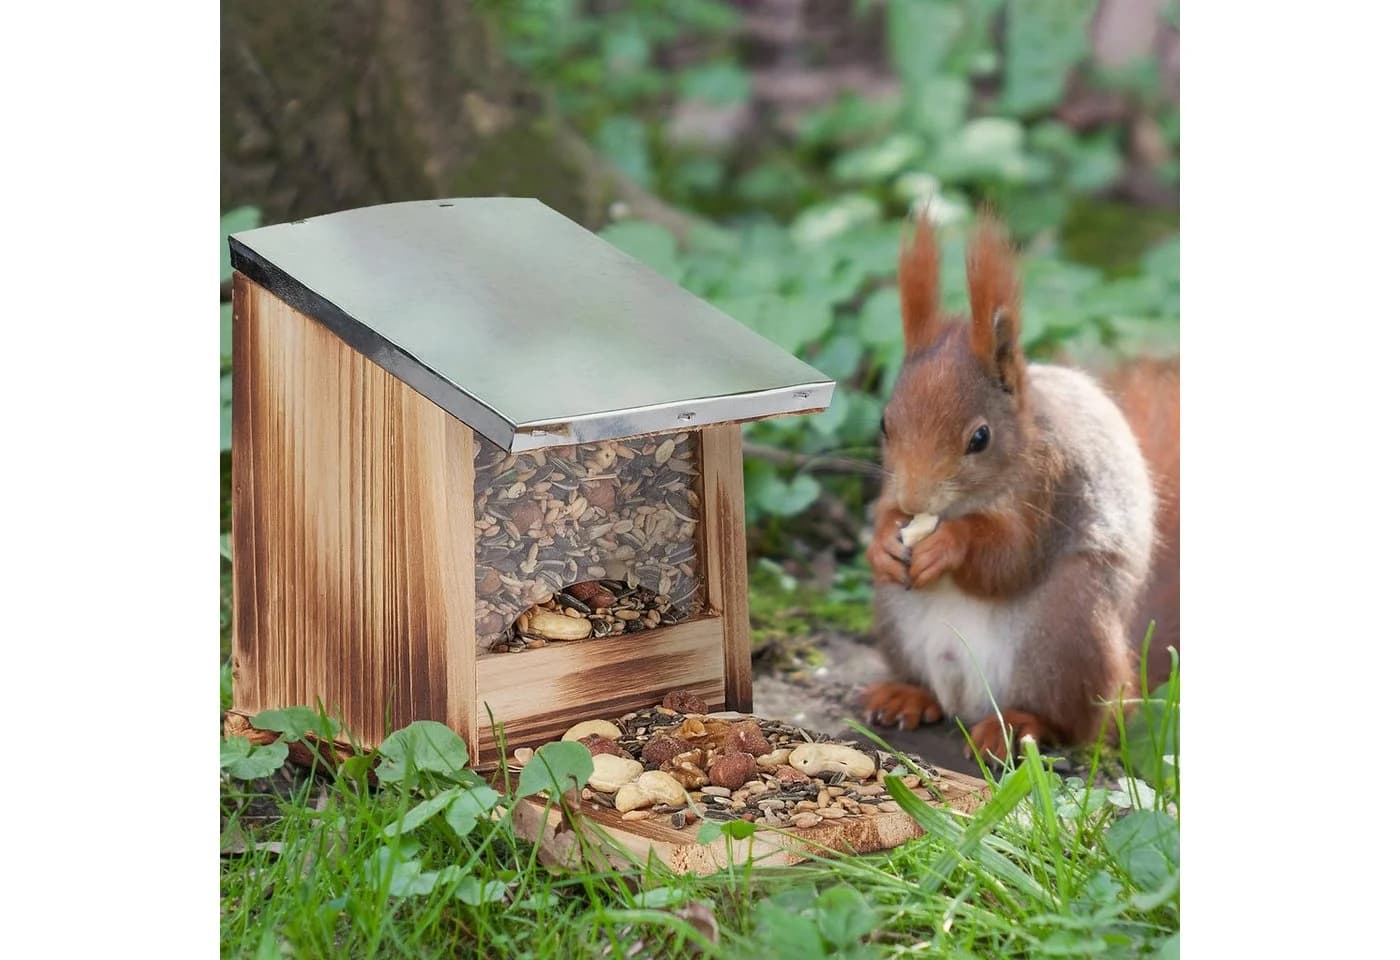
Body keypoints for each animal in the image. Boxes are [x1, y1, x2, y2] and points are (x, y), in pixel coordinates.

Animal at [862, 210, 1180, 759]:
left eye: (980, 438)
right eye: (884, 423)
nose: (915, 500)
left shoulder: (1049, 484)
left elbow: (1009, 558)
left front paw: (949, 543)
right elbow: (884, 513)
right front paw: (883, 540)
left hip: (1068, 628)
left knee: (1076, 723)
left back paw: (1017, 724)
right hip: (895, 616)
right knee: (930, 688)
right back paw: (906, 695)